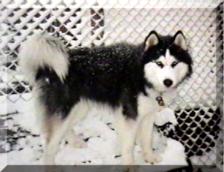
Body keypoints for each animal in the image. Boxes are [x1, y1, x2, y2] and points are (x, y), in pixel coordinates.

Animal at [18, 30, 192, 165]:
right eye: (159, 63)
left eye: (174, 63)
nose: (168, 82)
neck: (142, 75)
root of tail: (48, 68)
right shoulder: (129, 115)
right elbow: (128, 146)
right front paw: (130, 166)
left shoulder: (148, 114)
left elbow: (146, 139)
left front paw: (149, 157)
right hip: (65, 109)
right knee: (50, 145)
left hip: (79, 108)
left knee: (65, 129)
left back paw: (76, 142)